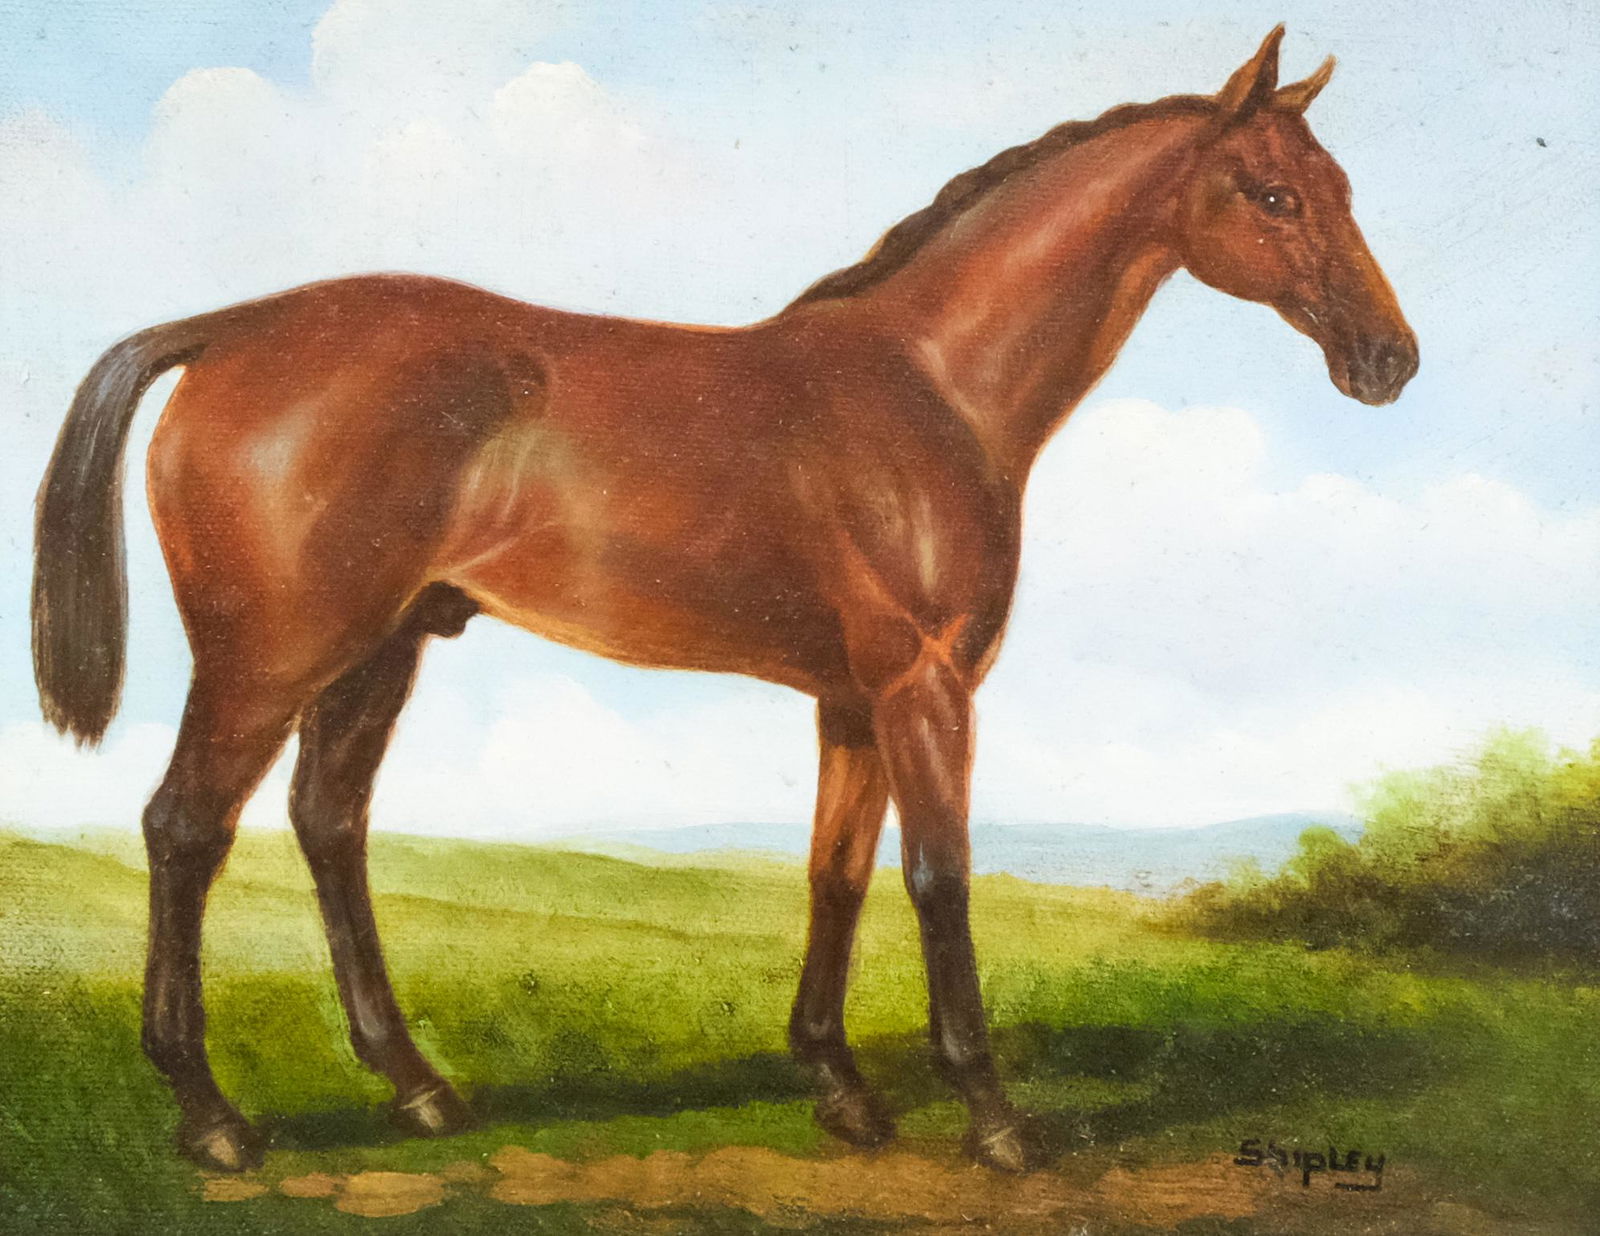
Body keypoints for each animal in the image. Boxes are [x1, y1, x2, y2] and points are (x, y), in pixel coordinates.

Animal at [31, 26, 1415, 1175]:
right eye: (1275, 193)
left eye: (1344, 189)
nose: (1387, 360)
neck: (926, 389)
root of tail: (233, 328)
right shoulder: (925, 687)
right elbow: (941, 879)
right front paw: (993, 1119)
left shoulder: (851, 701)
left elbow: (834, 876)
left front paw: (841, 1090)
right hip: (268, 659)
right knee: (184, 830)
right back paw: (213, 1119)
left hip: (377, 650)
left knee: (328, 822)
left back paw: (419, 1089)